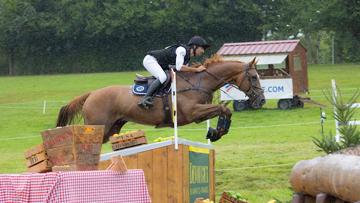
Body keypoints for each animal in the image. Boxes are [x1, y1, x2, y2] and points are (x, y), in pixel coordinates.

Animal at [56, 54, 264, 142]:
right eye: (254, 77)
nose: (261, 100)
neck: (199, 81)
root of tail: (91, 94)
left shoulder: (199, 115)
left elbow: (224, 110)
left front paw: (216, 132)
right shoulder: (192, 113)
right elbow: (223, 108)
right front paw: (218, 132)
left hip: (111, 128)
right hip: (98, 126)